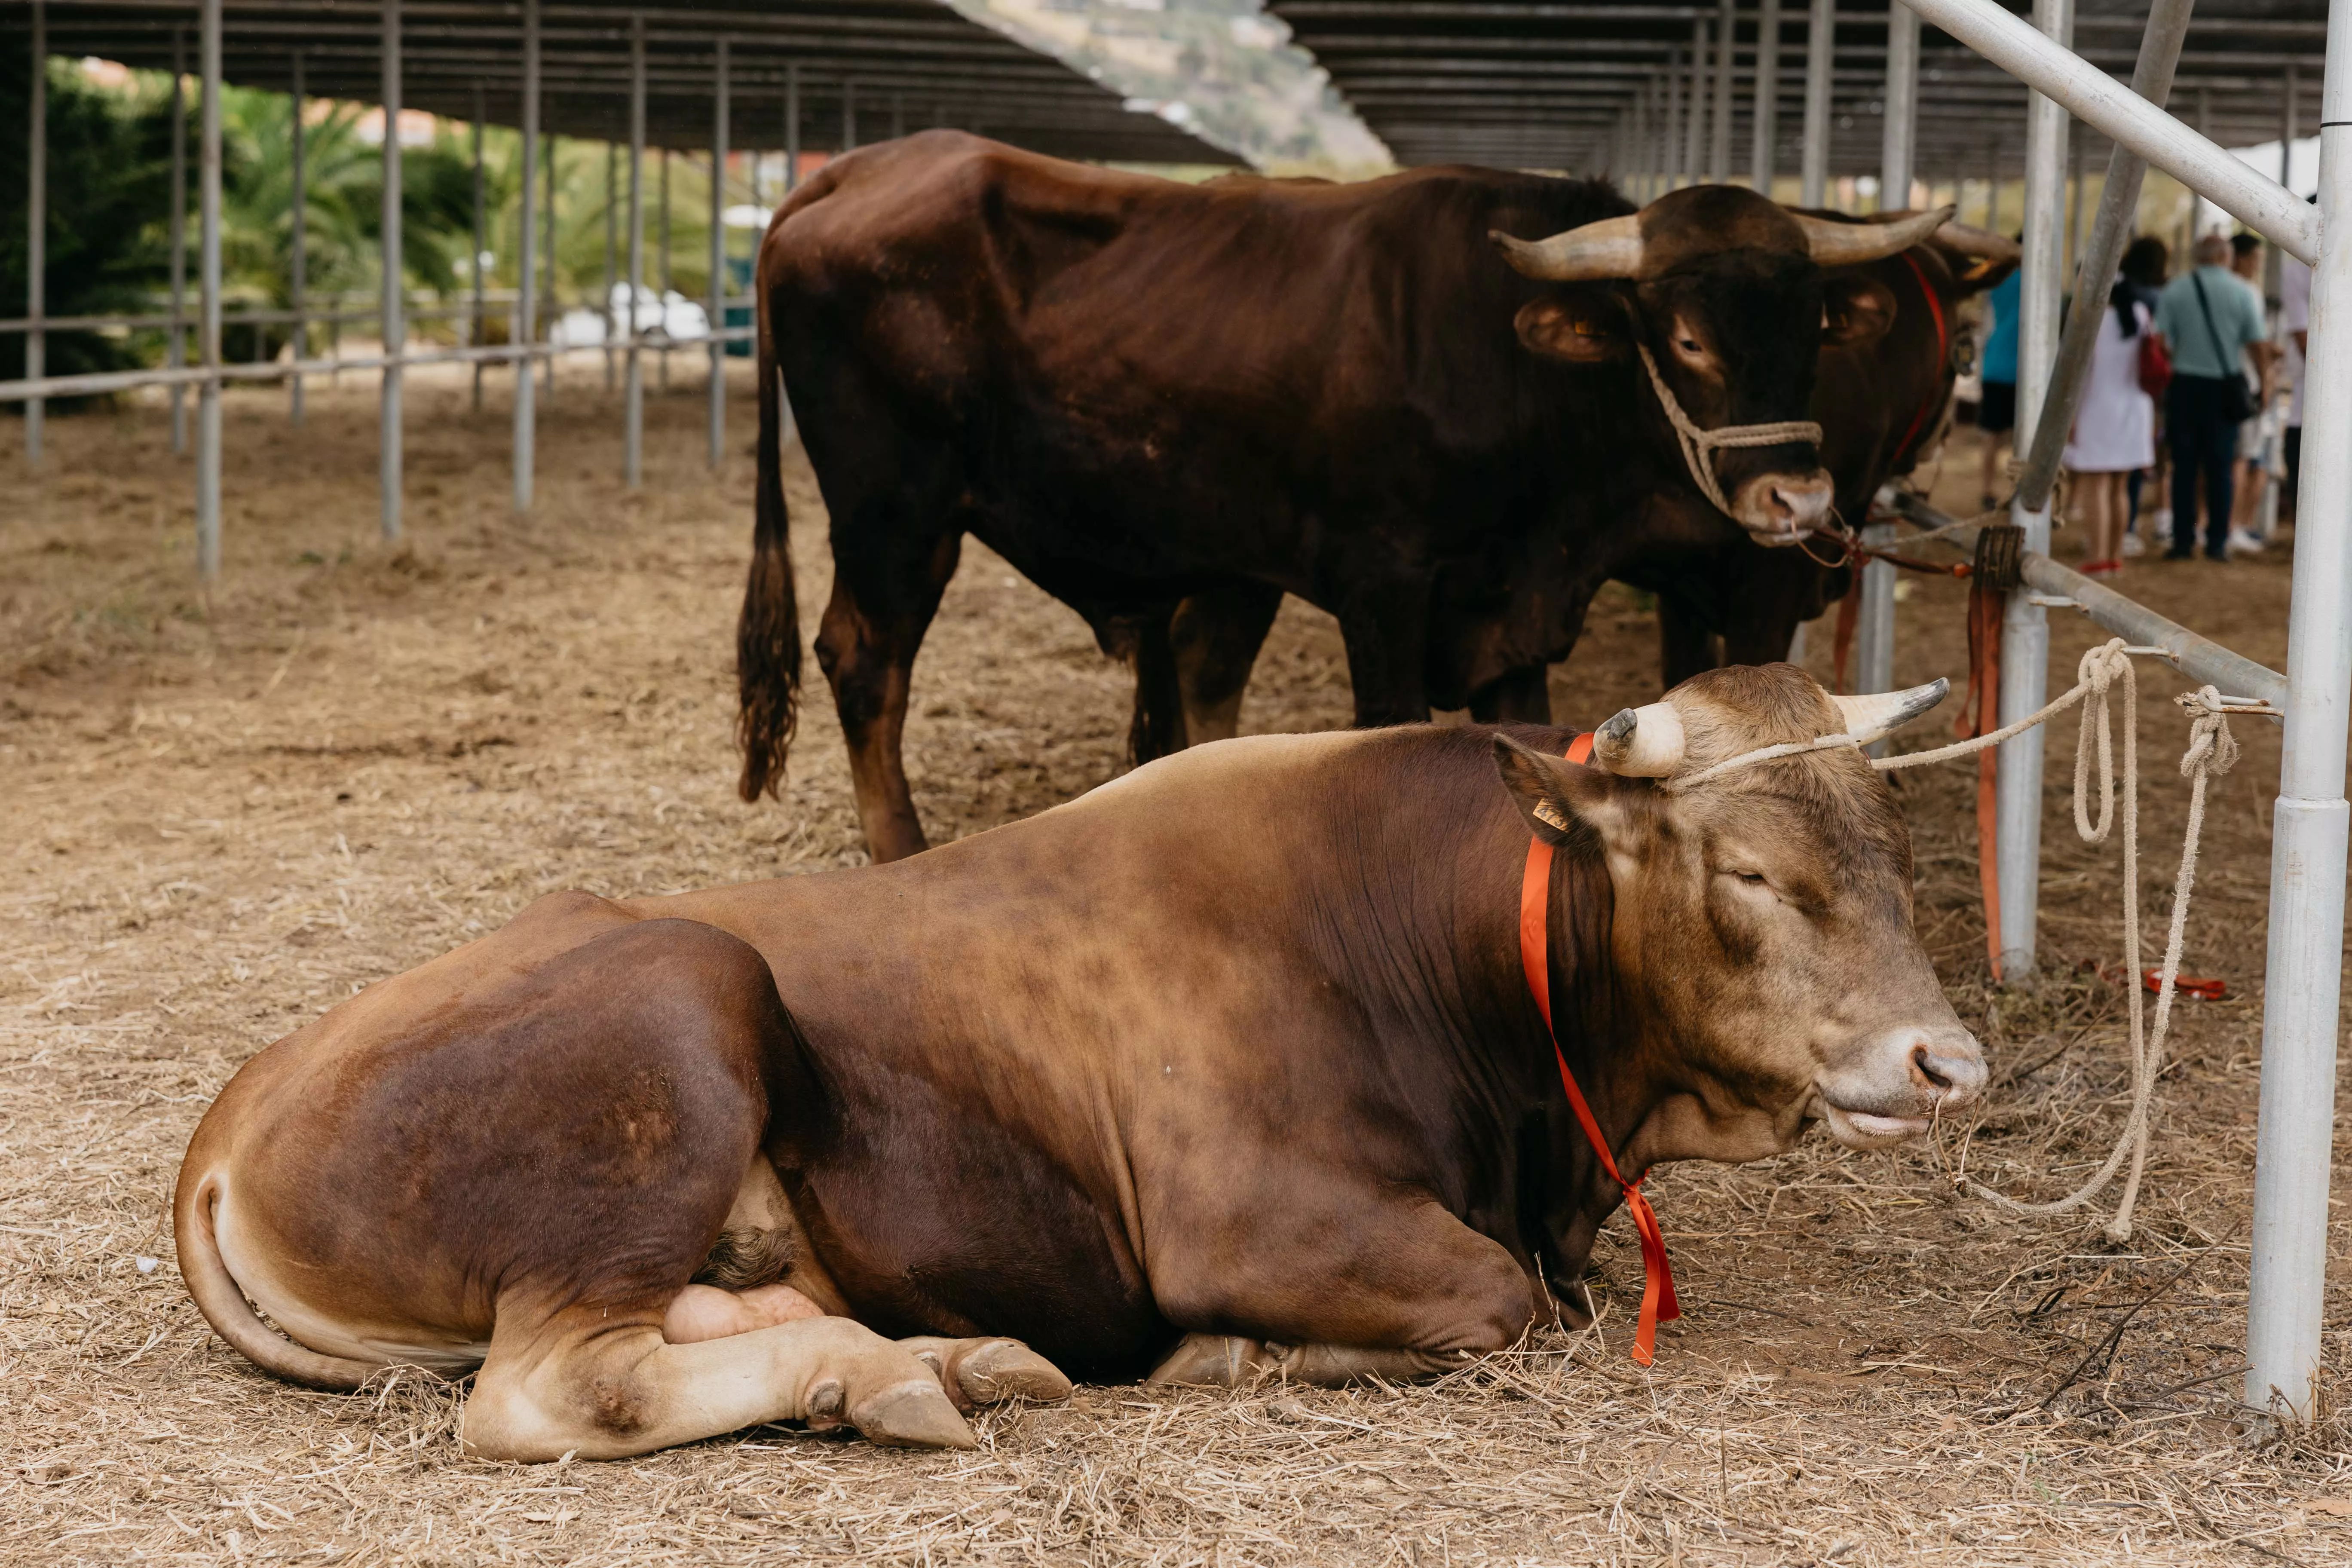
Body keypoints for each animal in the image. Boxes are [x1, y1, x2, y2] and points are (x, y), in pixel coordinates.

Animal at [178, 662, 1985, 1461]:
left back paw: (917, 1357)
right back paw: (906, 1375)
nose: (1948, 1060)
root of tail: (243, 1099)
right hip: (684, 1009)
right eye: (1747, 869)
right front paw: (1229, 1358)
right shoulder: (1256, 1216)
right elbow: (1497, 1302)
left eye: (1892, 843)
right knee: (556, 1387)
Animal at [734, 132, 1950, 862]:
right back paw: (901, 846)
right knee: (865, 662)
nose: (1799, 498)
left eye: (1813, 332)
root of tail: (855, 169)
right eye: (1687, 337)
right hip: (896, 514)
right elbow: (1389, 730)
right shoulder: (1386, 588)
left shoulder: (1517, 614)